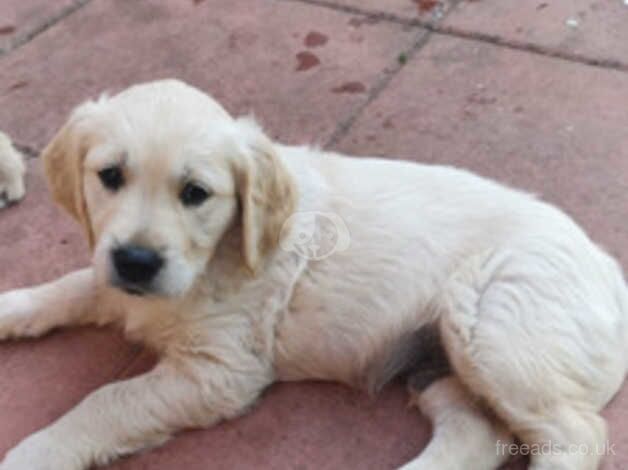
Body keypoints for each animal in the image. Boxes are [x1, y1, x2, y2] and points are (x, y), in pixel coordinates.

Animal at [1, 79, 628, 468]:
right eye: (109, 176)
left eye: (195, 193)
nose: (136, 261)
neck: (217, 258)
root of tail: (607, 267)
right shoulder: (116, 277)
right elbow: (71, 287)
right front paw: (12, 308)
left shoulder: (221, 371)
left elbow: (106, 401)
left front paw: (33, 454)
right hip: (439, 365)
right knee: (479, 437)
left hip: (493, 322)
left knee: (576, 436)